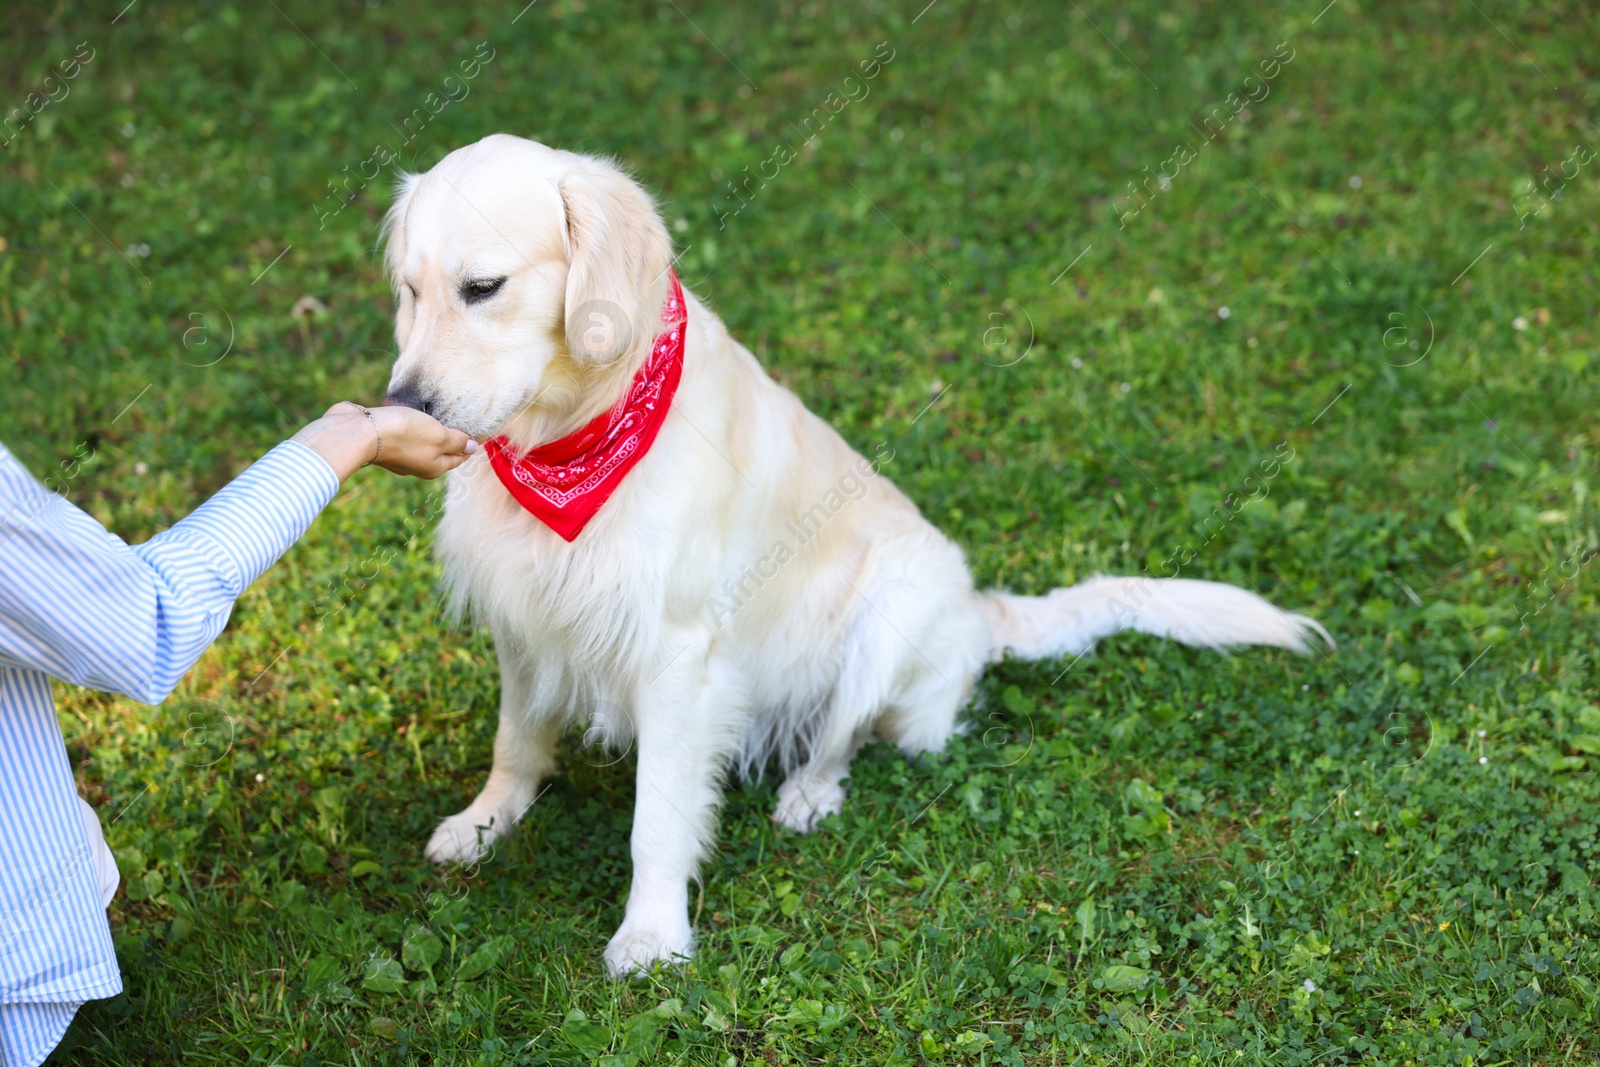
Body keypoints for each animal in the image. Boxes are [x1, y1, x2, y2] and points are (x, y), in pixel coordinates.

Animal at [374, 133, 1324, 979]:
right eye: (410, 290)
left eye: (484, 288)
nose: (403, 403)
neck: (573, 438)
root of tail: (979, 608)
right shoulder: (524, 610)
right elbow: (516, 738)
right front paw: (486, 821)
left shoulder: (678, 655)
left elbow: (659, 820)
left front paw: (651, 934)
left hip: (892, 603)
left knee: (847, 733)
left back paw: (808, 792)